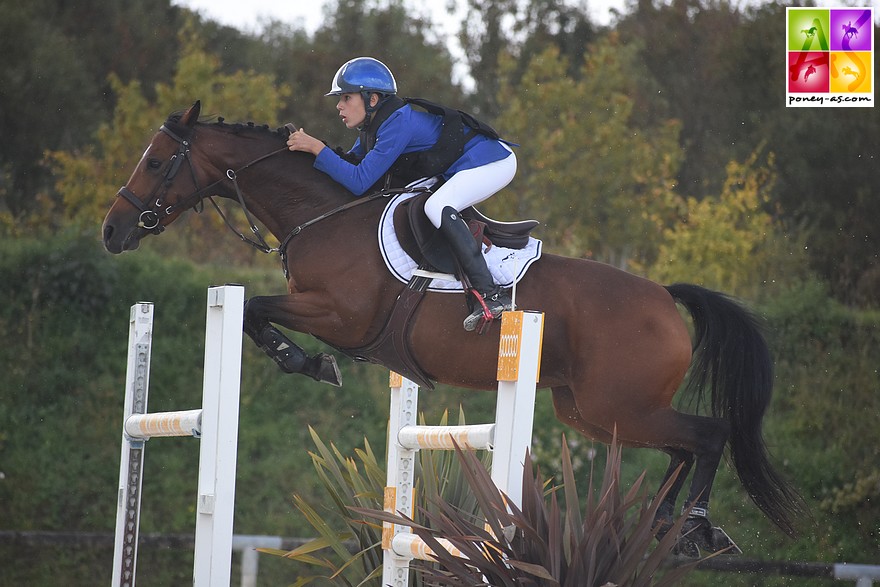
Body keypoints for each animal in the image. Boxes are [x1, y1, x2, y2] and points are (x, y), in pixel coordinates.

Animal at [98, 101, 804, 556]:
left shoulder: (340, 316)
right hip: (590, 411)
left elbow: (254, 312)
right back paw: (665, 528)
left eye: (156, 161)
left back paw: (695, 531)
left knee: (707, 437)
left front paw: (310, 364)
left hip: (616, 405)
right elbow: (254, 314)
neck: (323, 214)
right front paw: (307, 363)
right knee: (682, 448)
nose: (111, 231)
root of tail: (663, 296)